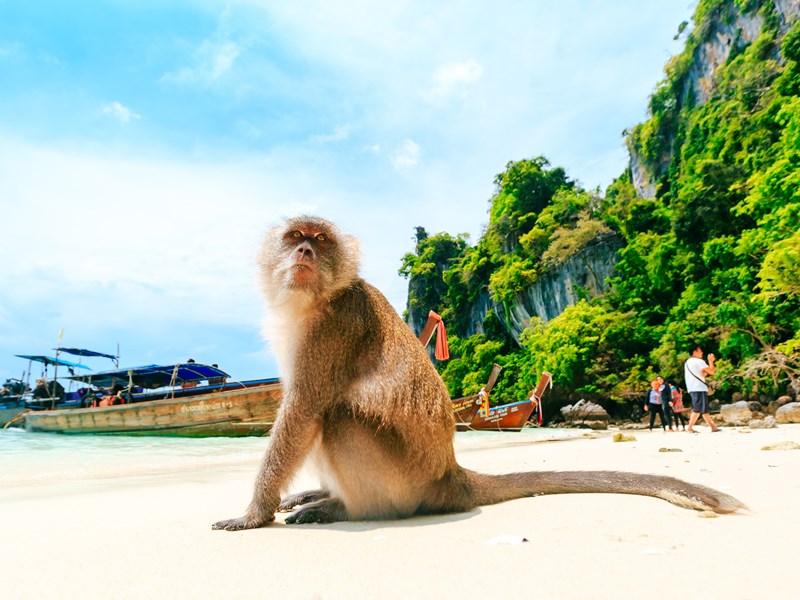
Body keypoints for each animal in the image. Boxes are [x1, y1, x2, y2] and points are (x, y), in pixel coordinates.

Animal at [211, 216, 744, 528]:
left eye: (320, 241)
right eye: (294, 238)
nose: (304, 252)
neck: (316, 299)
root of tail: (452, 476)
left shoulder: (333, 328)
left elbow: (302, 412)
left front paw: (253, 514)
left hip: (404, 482)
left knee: (336, 416)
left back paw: (344, 507)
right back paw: (323, 495)